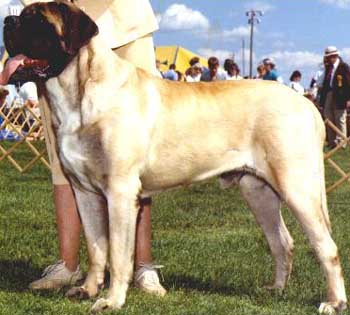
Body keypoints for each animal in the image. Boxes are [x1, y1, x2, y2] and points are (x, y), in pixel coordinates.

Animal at [4, 1, 348, 314]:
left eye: (38, 20)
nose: (8, 21)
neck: (80, 91)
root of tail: (308, 106)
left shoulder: (119, 192)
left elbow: (118, 253)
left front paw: (111, 300)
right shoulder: (85, 193)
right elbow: (97, 248)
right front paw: (88, 289)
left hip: (297, 186)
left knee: (326, 247)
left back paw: (333, 301)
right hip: (258, 190)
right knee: (282, 242)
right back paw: (275, 289)